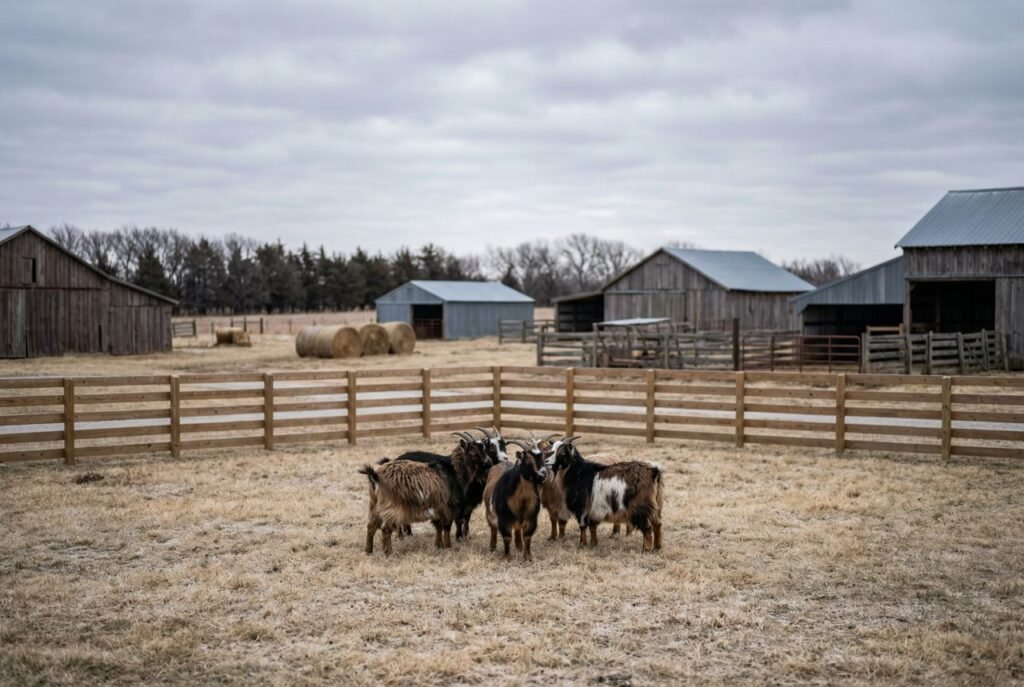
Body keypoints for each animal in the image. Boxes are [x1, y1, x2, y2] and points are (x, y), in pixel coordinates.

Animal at [361, 434, 491, 555]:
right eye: (474, 453)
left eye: (484, 449)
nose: (489, 463)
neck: (454, 472)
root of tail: (375, 476)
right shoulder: (448, 506)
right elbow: (447, 526)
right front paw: (448, 546)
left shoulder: (438, 507)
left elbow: (438, 526)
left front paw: (438, 545)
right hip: (392, 506)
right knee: (386, 529)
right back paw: (389, 553)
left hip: (374, 504)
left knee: (370, 526)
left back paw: (369, 551)